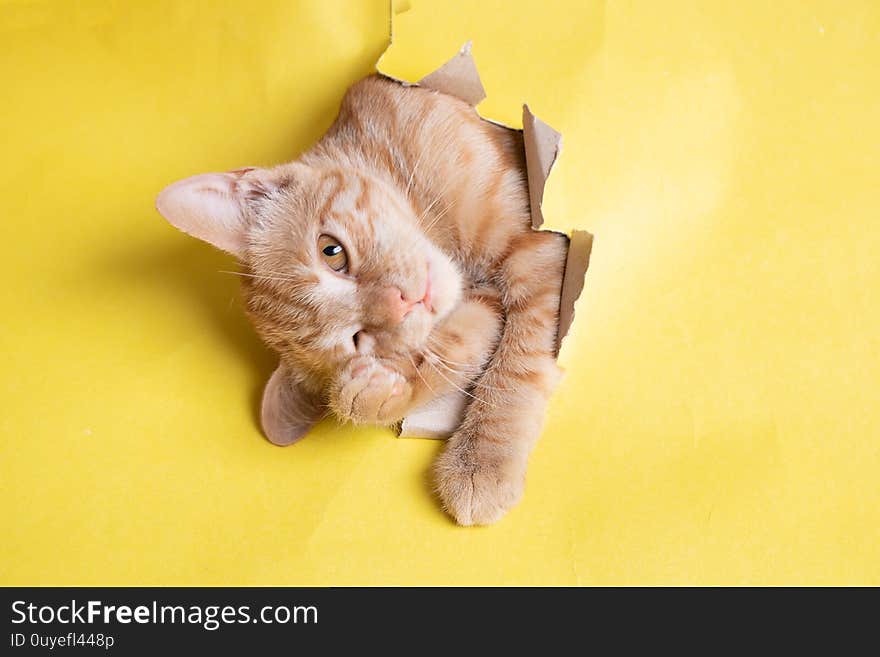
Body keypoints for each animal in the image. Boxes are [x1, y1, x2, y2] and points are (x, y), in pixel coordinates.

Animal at [155, 73, 568, 524]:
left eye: (331, 252)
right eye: (359, 340)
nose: (404, 300)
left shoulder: (538, 251)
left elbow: (519, 363)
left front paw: (485, 460)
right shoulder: (483, 304)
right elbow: (462, 347)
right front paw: (373, 395)